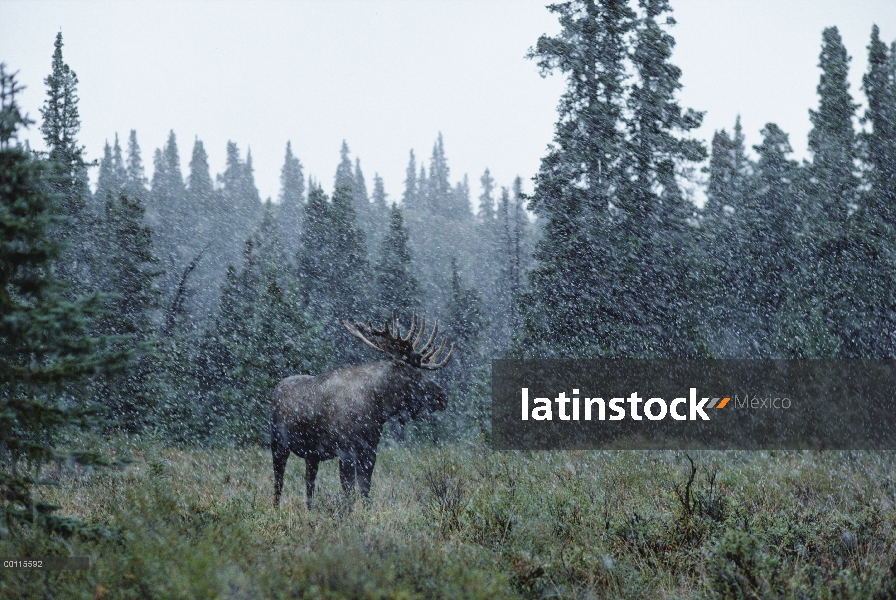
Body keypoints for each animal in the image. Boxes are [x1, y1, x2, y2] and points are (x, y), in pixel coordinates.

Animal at [270, 312, 456, 508]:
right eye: (413, 373)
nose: (442, 396)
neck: (377, 406)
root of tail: (276, 388)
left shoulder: (369, 449)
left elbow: (365, 488)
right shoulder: (346, 450)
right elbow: (348, 489)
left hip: (312, 455)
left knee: (309, 482)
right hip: (278, 444)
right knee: (279, 481)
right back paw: (276, 509)